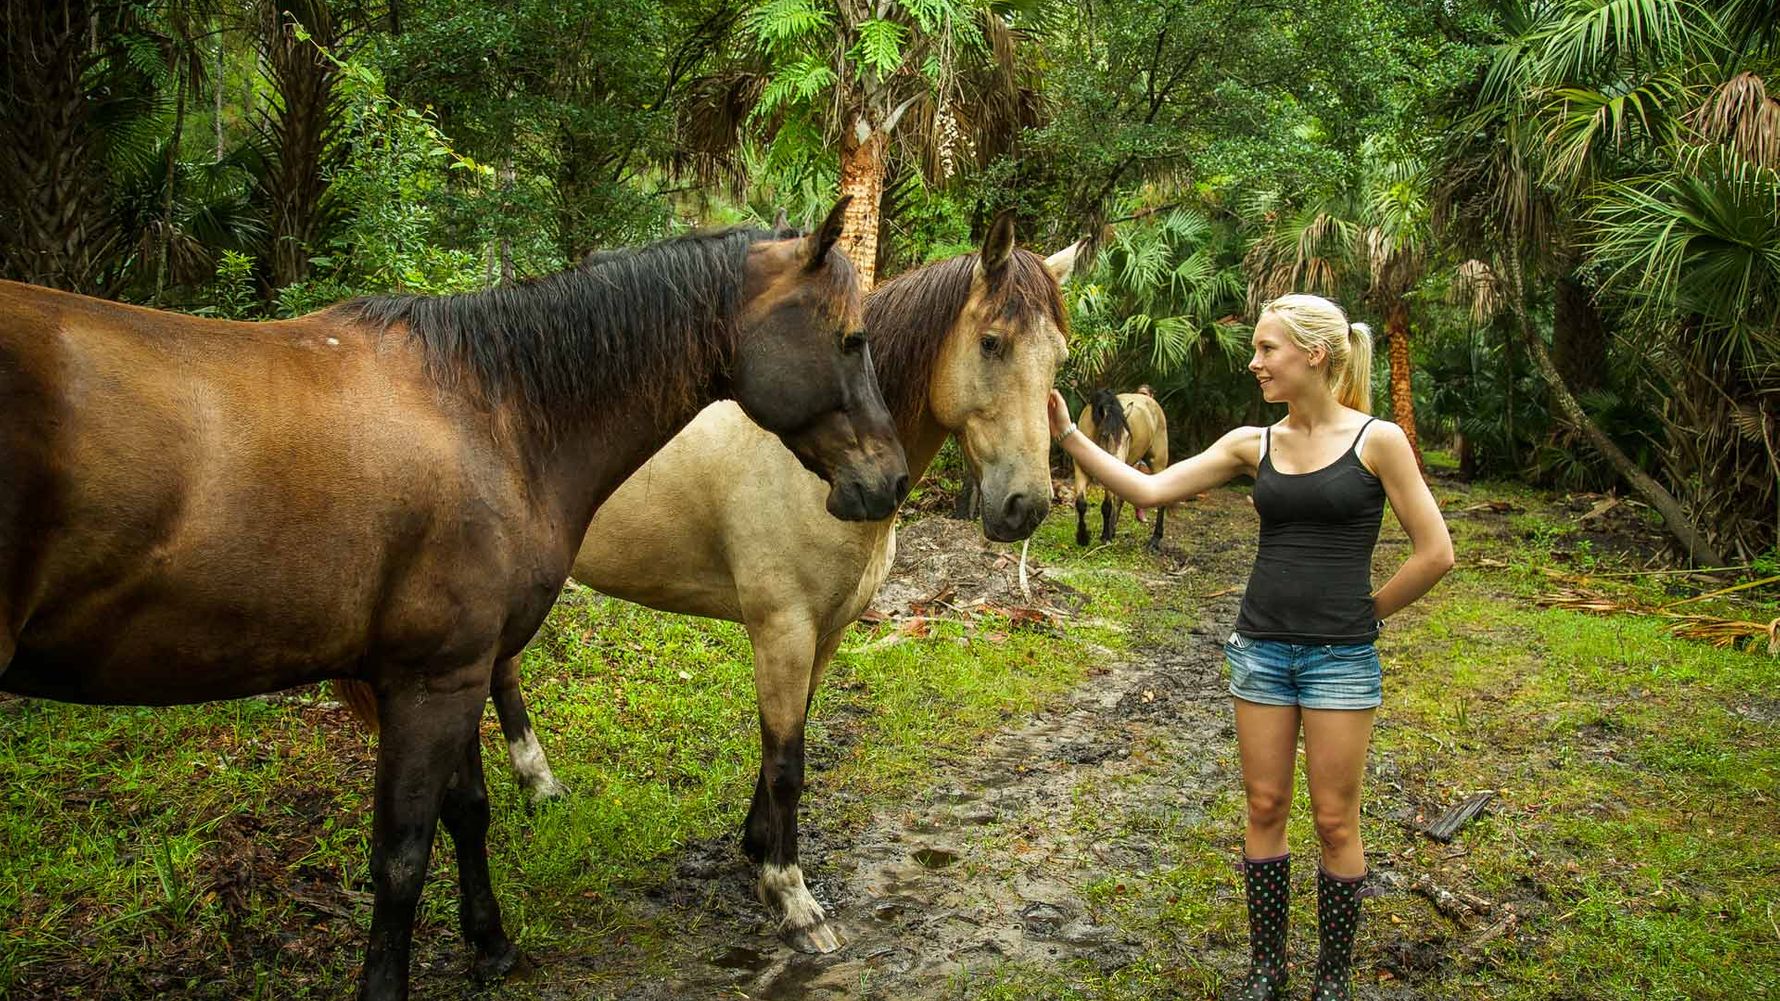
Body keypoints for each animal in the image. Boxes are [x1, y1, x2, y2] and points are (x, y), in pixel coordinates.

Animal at [0, 199, 910, 1001]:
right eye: (852, 337)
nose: (891, 481)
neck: (491, 412)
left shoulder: (459, 671)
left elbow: (466, 811)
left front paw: (490, 943)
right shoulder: (433, 680)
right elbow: (401, 862)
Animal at [444, 213, 1079, 954]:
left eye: (1058, 356)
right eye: (991, 342)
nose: (1025, 506)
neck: (810, 467)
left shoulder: (826, 632)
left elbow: (785, 738)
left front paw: (755, 846)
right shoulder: (784, 629)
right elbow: (786, 761)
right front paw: (792, 897)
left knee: (505, 671)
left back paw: (539, 784)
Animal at [1072, 389, 1170, 552]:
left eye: (1128, 436)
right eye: (1105, 435)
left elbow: (1106, 506)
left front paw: (1105, 537)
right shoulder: (1080, 469)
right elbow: (1081, 503)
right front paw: (1082, 537)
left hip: (1157, 462)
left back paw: (1155, 540)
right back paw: (1113, 530)